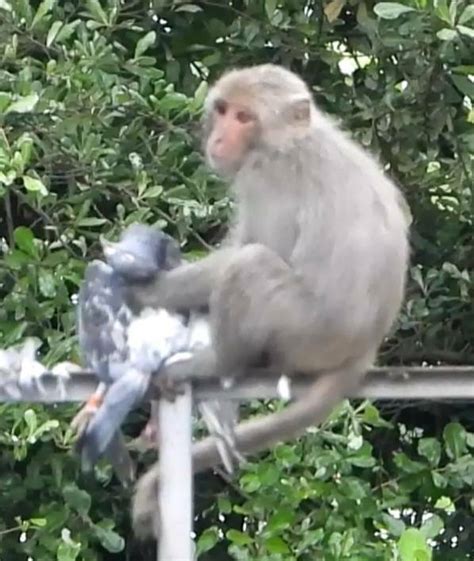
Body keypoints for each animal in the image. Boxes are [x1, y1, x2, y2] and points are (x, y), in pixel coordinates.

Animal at [128, 62, 410, 540]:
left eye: (245, 118)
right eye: (224, 110)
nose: (220, 138)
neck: (287, 141)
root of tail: (364, 350)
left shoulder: (266, 177)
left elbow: (250, 249)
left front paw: (146, 289)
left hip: (304, 331)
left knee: (252, 265)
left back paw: (216, 363)